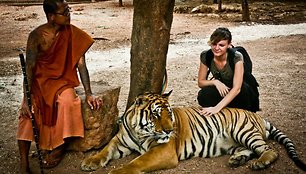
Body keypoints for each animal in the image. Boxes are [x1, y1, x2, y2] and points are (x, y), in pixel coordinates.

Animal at [81, 90, 306, 173]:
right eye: (155, 115)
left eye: (169, 113)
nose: (169, 131)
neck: (140, 132)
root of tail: (256, 115)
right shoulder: (119, 141)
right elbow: (105, 150)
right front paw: (90, 162)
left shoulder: (163, 150)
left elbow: (137, 161)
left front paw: (116, 171)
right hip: (236, 142)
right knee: (248, 150)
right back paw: (237, 160)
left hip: (244, 131)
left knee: (269, 150)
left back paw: (260, 163)